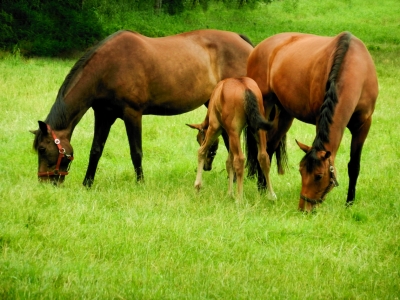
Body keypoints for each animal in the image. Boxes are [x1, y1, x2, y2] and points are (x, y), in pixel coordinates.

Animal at [30, 29, 253, 186]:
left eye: (42, 148)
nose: (45, 182)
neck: (107, 67)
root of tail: (241, 40)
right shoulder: (103, 115)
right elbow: (96, 150)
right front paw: (87, 183)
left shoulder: (133, 114)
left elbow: (136, 151)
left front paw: (140, 183)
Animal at [245, 31, 380, 211]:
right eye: (301, 172)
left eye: (319, 176)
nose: (304, 208)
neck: (355, 67)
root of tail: (259, 47)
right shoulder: (319, 119)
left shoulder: (363, 125)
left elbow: (354, 165)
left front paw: (349, 203)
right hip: (264, 107)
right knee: (262, 148)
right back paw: (262, 189)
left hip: (285, 115)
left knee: (270, 146)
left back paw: (264, 187)